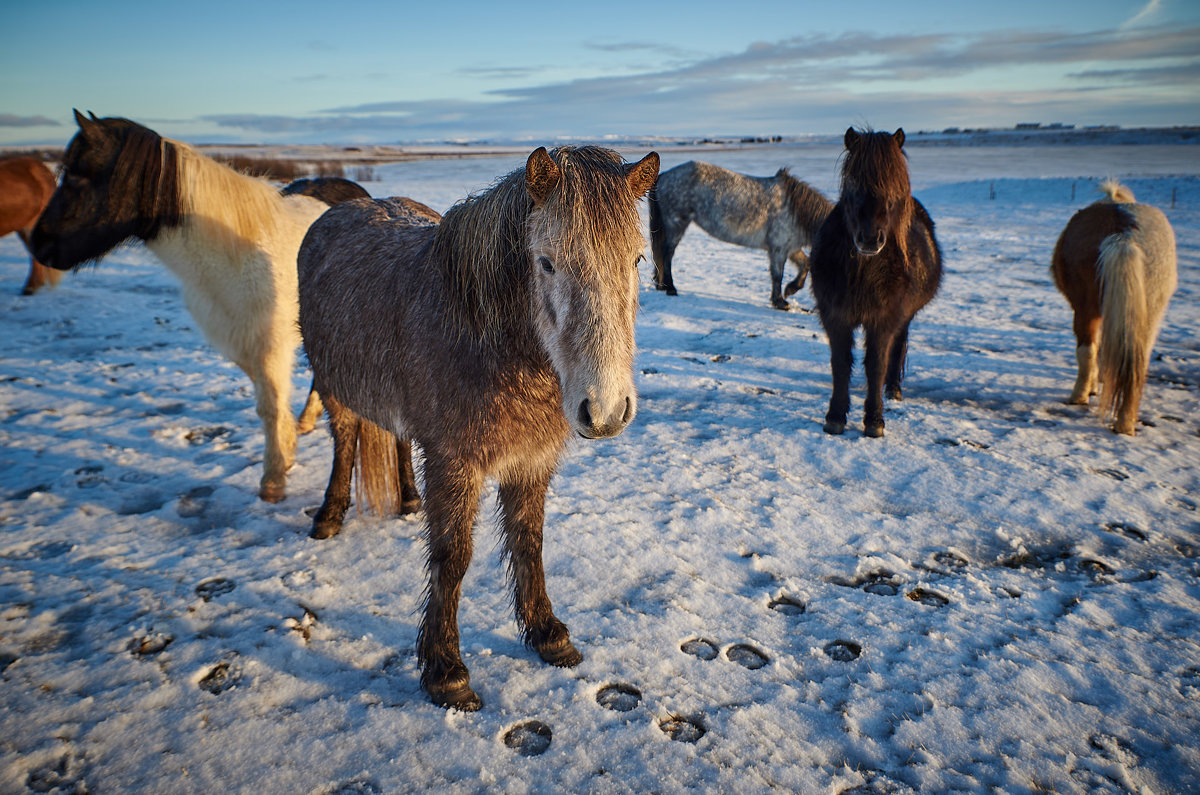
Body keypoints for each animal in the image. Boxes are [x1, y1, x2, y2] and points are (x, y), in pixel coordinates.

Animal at [296, 146, 662, 710]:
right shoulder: (454, 460)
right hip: (334, 386)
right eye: (546, 262)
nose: (604, 410)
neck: (485, 337)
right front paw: (446, 671)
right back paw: (329, 516)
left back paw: (407, 499)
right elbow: (453, 556)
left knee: (396, 436)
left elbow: (529, 540)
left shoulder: (532, 459)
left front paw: (548, 634)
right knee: (345, 438)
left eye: (637, 261)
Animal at [648, 160, 835, 309]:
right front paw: (780, 301)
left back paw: (661, 285)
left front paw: (790, 290)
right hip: (676, 224)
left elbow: (805, 264)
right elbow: (777, 275)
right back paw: (670, 287)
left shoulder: (791, 248)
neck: (794, 210)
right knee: (667, 254)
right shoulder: (778, 248)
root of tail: (664, 176)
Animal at [811, 131, 940, 441]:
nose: (870, 239)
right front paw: (835, 416)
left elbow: (876, 364)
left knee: (898, 347)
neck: (864, 272)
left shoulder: (884, 319)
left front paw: (874, 420)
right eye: (853, 184)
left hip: (905, 317)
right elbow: (841, 363)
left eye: (894, 189)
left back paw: (893, 388)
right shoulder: (835, 317)